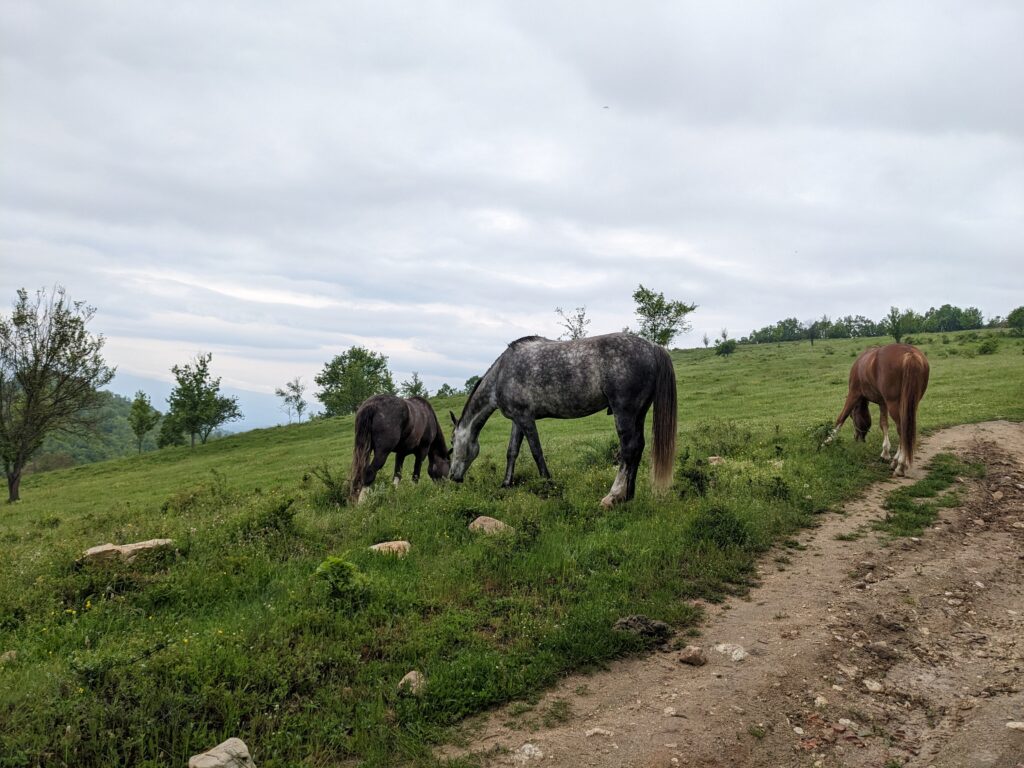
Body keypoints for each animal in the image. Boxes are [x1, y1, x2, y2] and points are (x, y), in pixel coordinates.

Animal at [448, 332, 677, 507]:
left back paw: (612, 497)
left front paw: (548, 484)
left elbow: (536, 452)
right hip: (639, 413)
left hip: (625, 413)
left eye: (452, 442)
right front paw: (506, 484)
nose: (452, 477)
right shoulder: (517, 420)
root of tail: (652, 347)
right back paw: (628, 496)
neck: (501, 374)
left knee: (629, 449)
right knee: (638, 448)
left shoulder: (526, 418)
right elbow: (512, 451)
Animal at [830, 343, 929, 476]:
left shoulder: (854, 393)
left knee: (902, 429)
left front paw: (827, 441)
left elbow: (841, 418)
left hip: (894, 404)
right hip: (911, 403)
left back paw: (900, 464)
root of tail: (910, 354)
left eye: (852, 417)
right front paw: (885, 453)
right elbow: (884, 424)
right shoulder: (883, 403)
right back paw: (899, 461)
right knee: (906, 428)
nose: (858, 438)